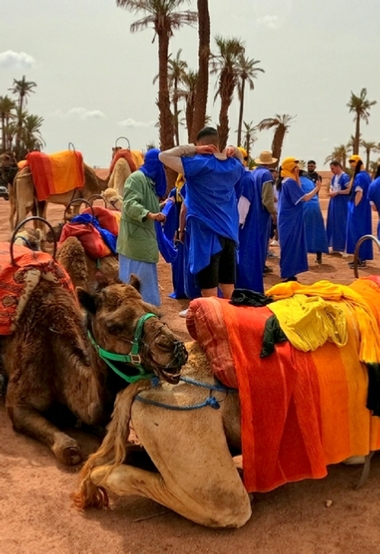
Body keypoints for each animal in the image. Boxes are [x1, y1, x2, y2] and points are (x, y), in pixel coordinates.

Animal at [72, 276, 380, 528]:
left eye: (155, 311)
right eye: (113, 326)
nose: (173, 349)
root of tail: (144, 384)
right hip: (192, 446)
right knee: (227, 504)